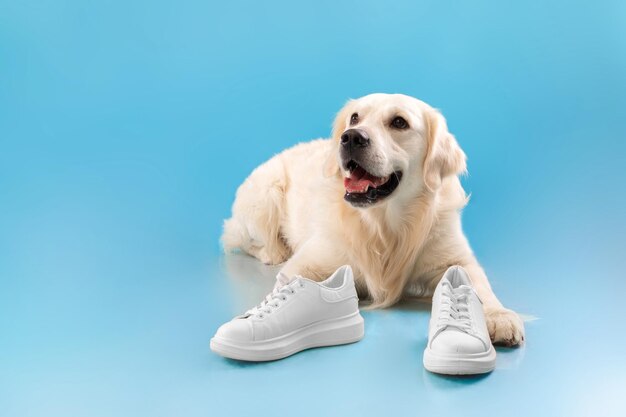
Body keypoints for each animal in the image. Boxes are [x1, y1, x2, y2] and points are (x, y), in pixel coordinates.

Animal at [222, 93, 524, 344]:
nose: (351, 137)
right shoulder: (309, 261)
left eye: (399, 122)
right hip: (266, 194)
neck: (383, 224)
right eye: (355, 117)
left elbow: (478, 284)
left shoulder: (454, 257)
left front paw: (499, 316)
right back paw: (275, 251)